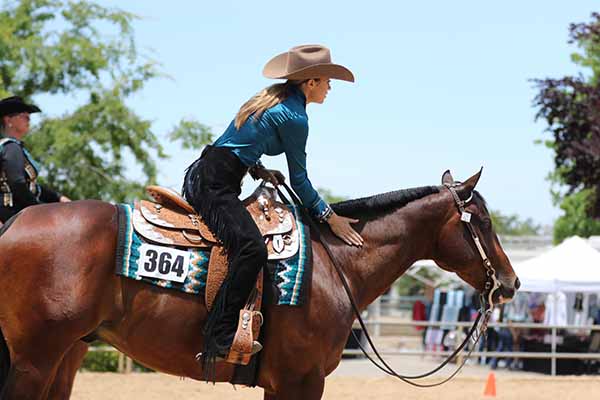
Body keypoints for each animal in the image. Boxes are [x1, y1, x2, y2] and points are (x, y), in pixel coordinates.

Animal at [0, 170, 516, 398]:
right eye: (484, 221)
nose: (509, 282)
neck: (337, 265)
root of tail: (15, 221)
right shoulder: (300, 382)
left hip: (63, 356)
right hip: (34, 361)